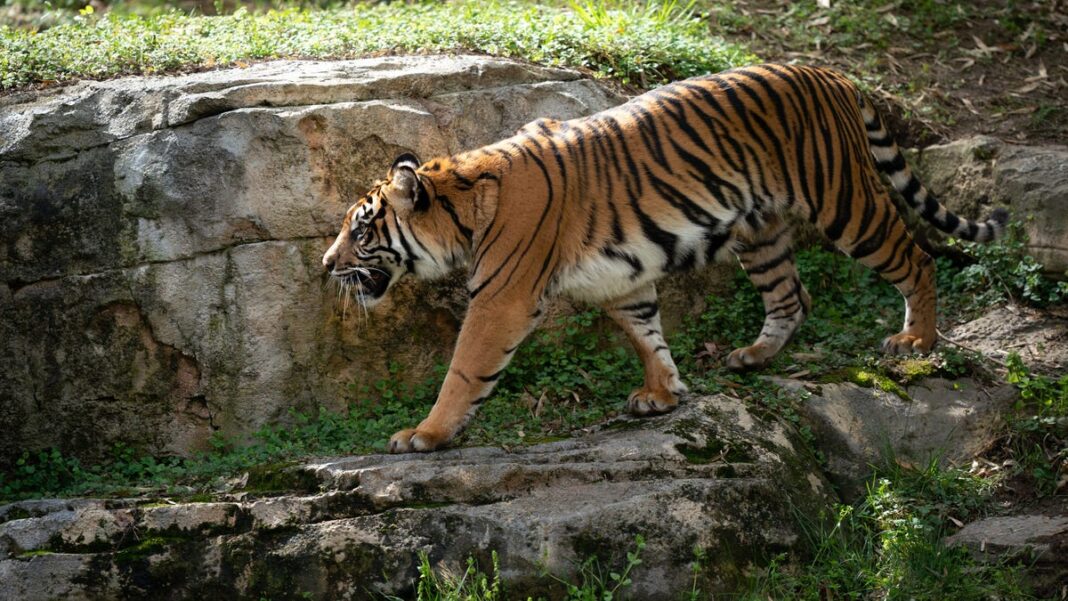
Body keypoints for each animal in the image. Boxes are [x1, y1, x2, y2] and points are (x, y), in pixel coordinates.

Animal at [318, 63, 1008, 454]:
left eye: (361, 230)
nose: (324, 265)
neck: (465, 204)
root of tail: (832, 76)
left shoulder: (501, 299)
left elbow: (464, 370)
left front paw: (425, 434)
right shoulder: (620, 278)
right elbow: (647, 334)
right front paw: (664, 393)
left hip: (844, 200)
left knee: (916, 256)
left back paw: (916, 340)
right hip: (760, 230)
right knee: (792, 295)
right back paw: (753, 356)